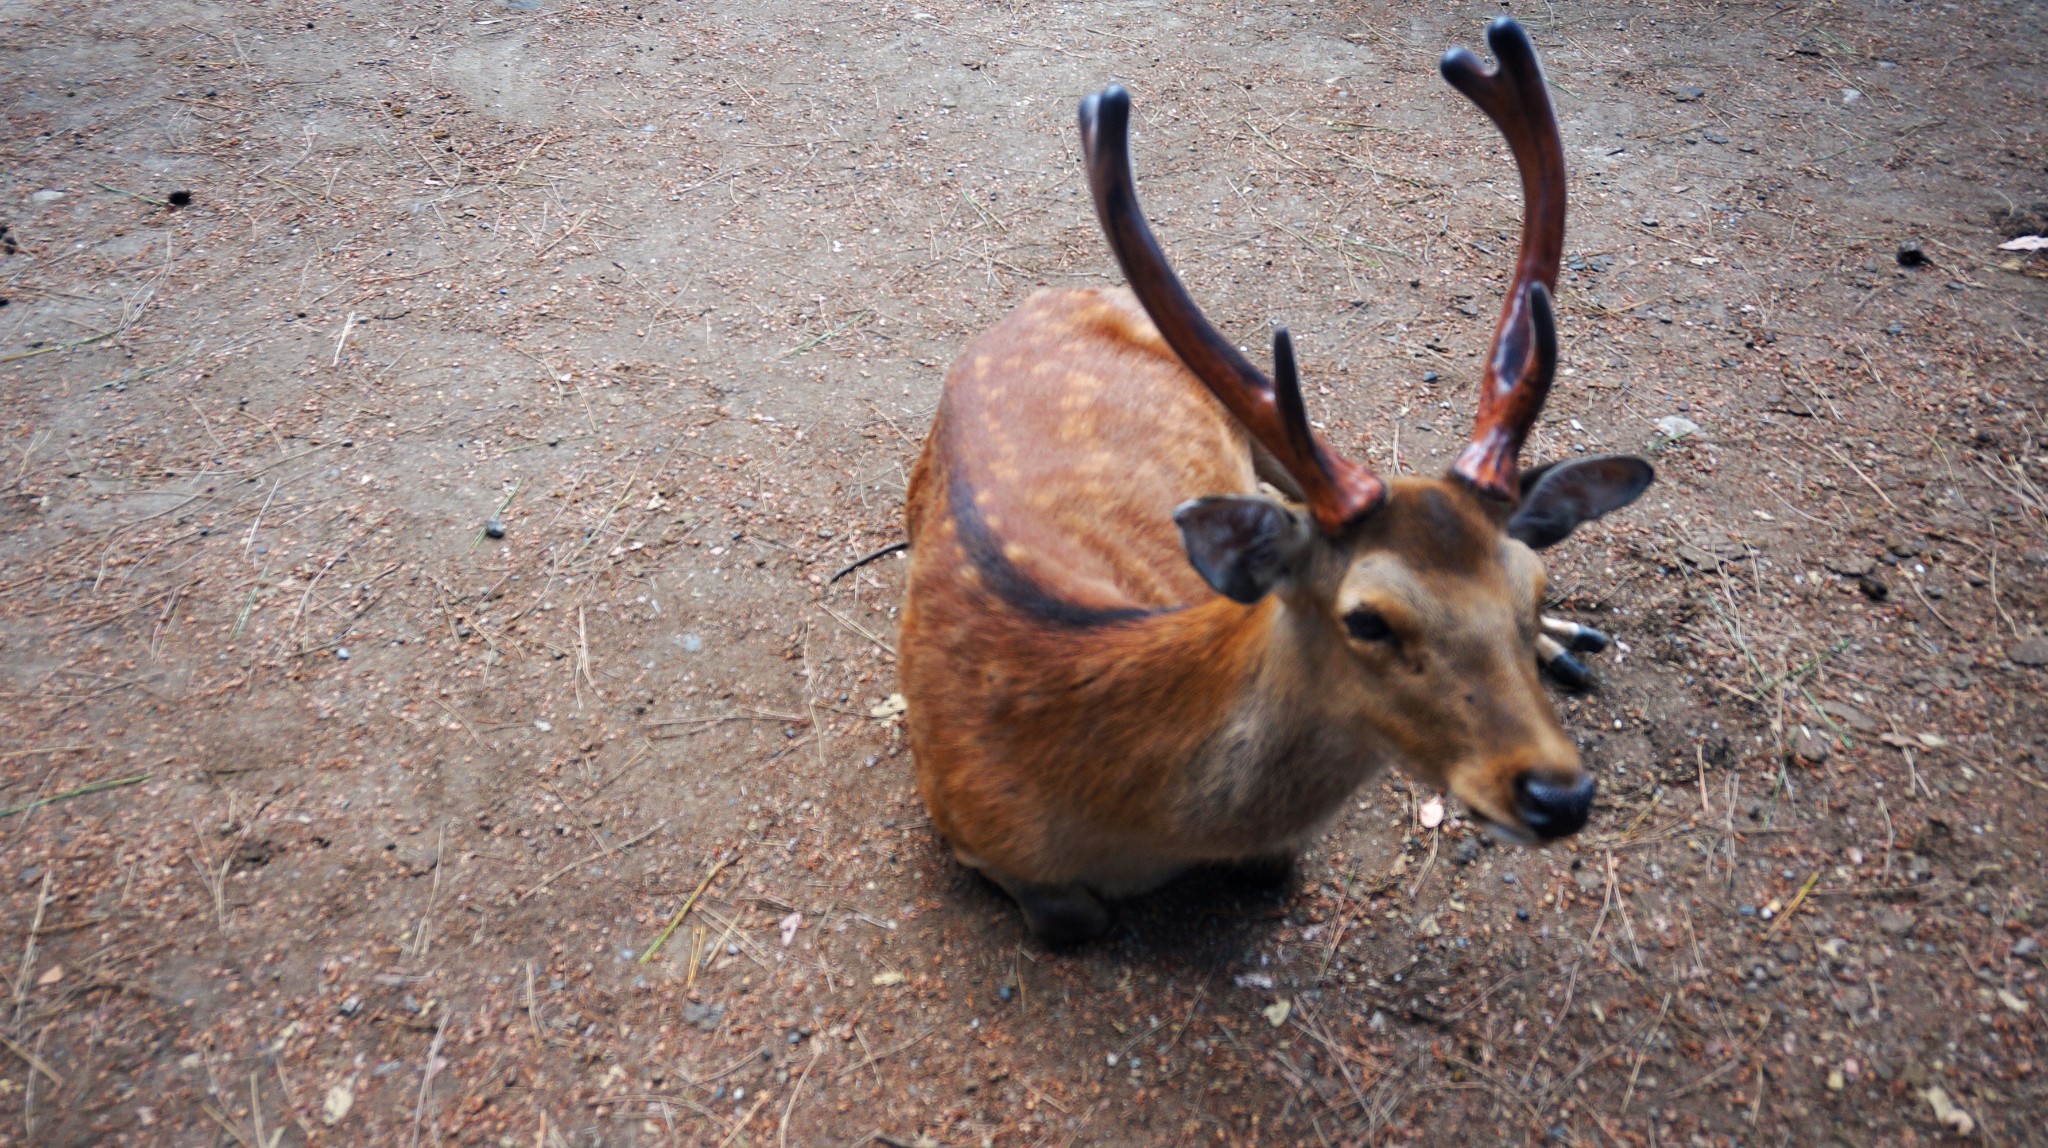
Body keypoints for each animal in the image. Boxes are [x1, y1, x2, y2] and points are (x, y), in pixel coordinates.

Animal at [905, 17, 1654, 941]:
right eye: (1368, 618)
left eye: (1532, 583)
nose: (1560, 794)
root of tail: (1042, 295)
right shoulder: (963, 822)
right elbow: (1077, 921)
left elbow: (1272, 864)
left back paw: (1569, 647)